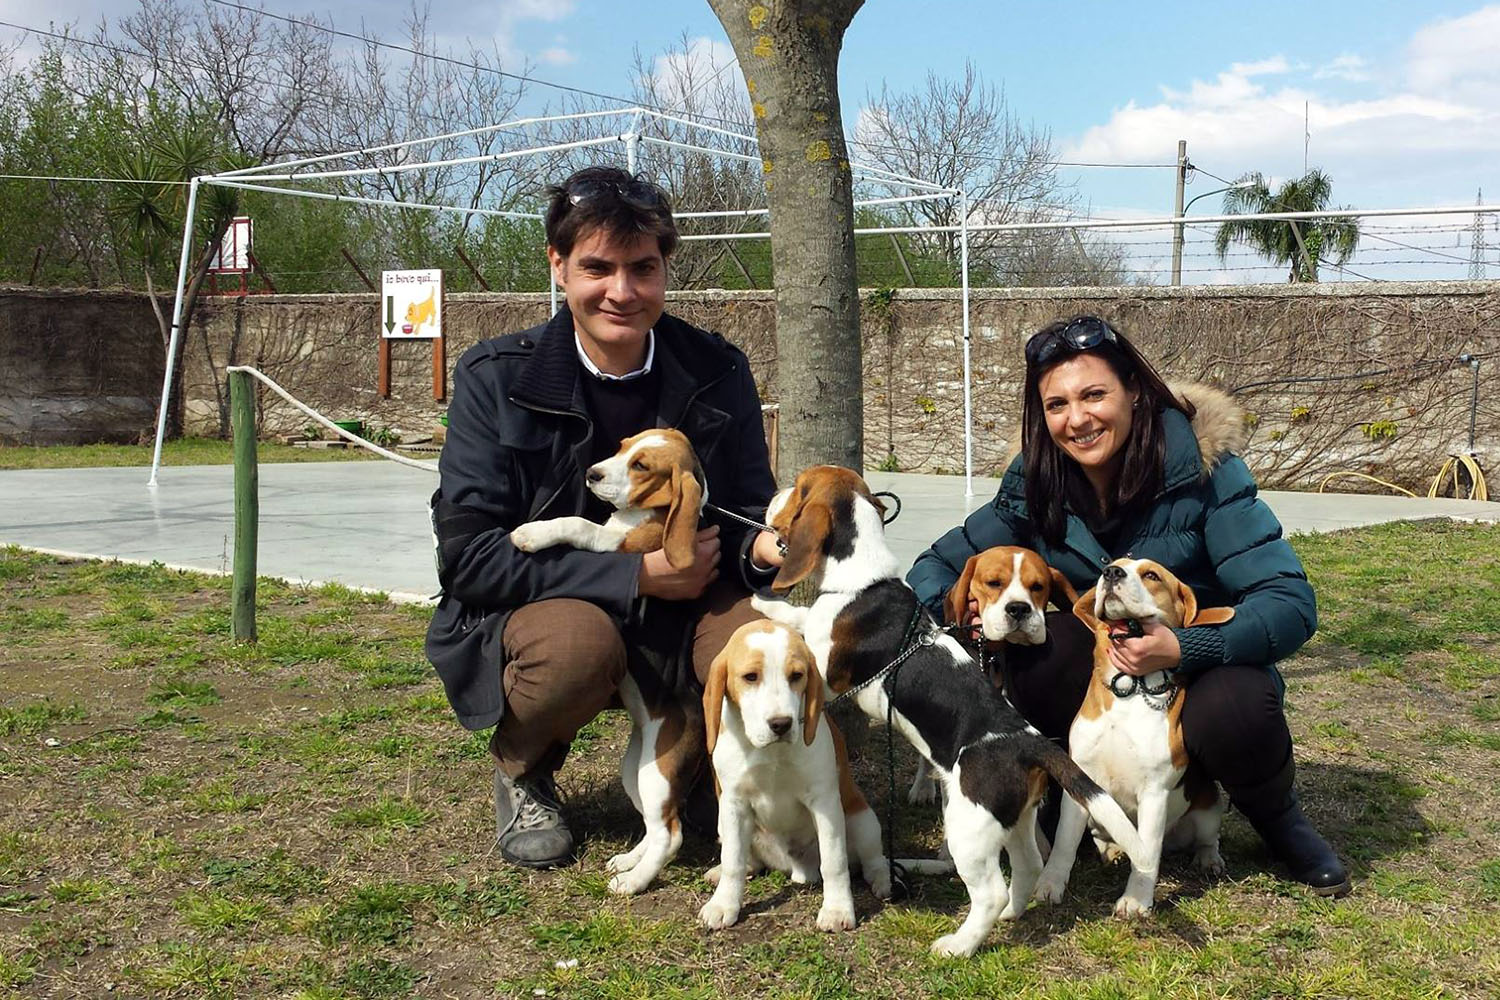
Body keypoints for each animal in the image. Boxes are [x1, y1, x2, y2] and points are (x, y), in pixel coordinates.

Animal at [507, 425, 705, 893]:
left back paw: (633, 883)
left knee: (670, 834)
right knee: (655, 825)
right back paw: (628, 861)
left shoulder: (618, 545)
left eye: (642, 465)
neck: (645, 514)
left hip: (657, 774)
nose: (592, 474)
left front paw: (530, 533)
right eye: (622, 446)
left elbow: (579, 524)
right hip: (636, 769)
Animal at [699, 620, 894, 935]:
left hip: (862, 819)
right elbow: (733, 860)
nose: (781, 724)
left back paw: (883, 880)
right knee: (747, 861)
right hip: (723, 823)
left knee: (873, 859)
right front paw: (724, 904)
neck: (771, 752)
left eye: (796, 676)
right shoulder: (733, 804)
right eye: (750, 677)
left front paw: (837, 910)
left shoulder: (825, 803)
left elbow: (834, 862)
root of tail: (798, 869)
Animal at [750, 464, 1146, 959]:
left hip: (966, 826)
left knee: (990, 891)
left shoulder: (825, 669)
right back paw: (1013, 912)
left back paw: (959, 944)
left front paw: (769, 606)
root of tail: (1029, 743)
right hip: (1013, 820)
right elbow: (802, 617)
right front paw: (766, 603)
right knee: (1028, 865)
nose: (771, 496)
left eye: (799, 489)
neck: (862, 581)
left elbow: (804, 630)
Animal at [1038, 560, 1236, 917]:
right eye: (1111, 566)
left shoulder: (1154, 792)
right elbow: (1063, 843)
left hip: (1207, 809)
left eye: (1152, 575)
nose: (1112, 573)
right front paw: (1050, 884)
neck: (1128, 688)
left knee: (1207, 838)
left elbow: (1147, 855)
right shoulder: (1080, 781)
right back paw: (1111, 849)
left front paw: (1136, 900)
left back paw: (1208, 858)